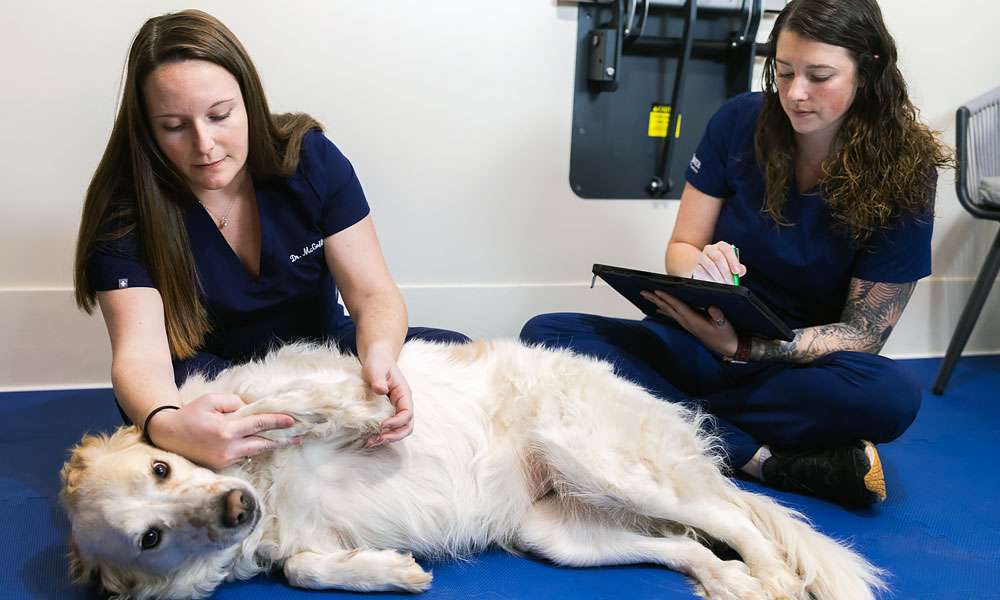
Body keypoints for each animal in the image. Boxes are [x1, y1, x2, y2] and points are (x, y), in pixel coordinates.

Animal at [58, 340, 884, 596]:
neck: (263, 490)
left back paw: (775, 577)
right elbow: (304, 569)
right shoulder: (292, 544)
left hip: (604, 461)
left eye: (162, 469)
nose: (234, 512)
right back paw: (735, 585)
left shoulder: (321, 393)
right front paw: (393, 573)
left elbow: (310, 405)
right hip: (559, 534)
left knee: (738, 516)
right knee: (686, 545)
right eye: (150, 540)